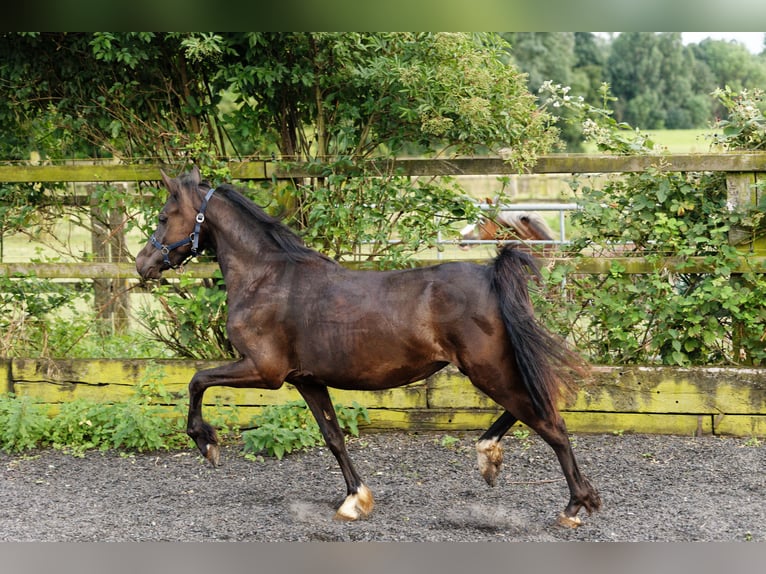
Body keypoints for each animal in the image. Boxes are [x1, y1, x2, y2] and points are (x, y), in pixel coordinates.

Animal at [136, 168, 608, 532]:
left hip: (487, 367)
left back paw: (574, 506)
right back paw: (489, 457)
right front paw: (355, 500)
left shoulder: (264, 371)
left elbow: (197, 380)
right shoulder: (306, 380)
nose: (143, 264)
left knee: (549, 422)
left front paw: (206, 443)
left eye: (163, 216)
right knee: (533, 407)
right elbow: (333, 437)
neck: (266, 278)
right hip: (494, 365)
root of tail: (490, 274)